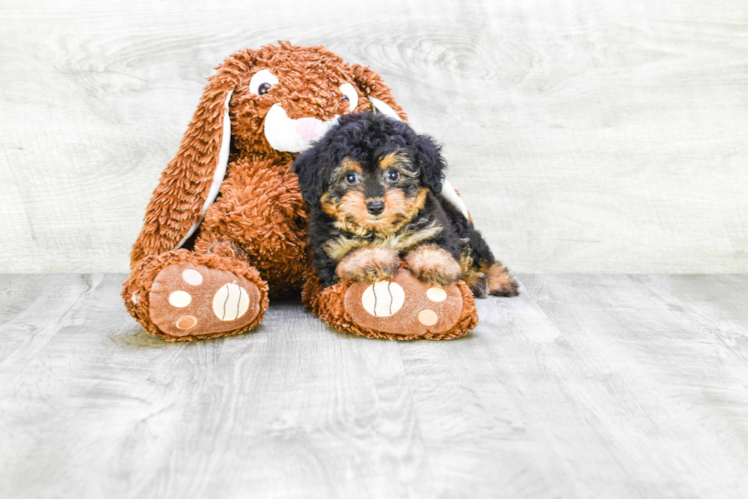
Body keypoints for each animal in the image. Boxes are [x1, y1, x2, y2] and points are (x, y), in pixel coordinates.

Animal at [292, 112, 520, 296]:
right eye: (350, 177)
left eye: (393, 174)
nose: (376, 206)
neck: (384, 231)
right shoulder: (330, 251)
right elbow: (355, 251)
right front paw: (372, 259)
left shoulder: (436, 227)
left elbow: (434, 246)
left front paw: (437, 264)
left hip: (462, 227)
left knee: (480, 256)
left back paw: (498, 280)